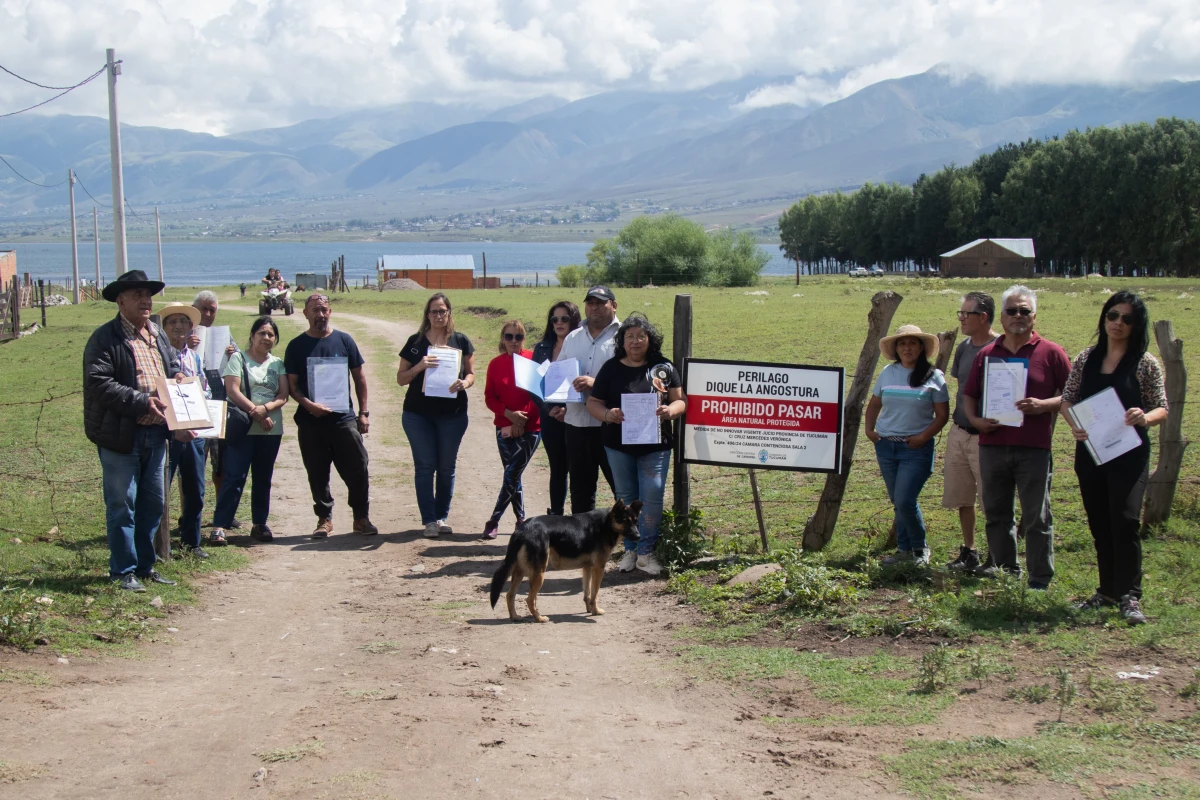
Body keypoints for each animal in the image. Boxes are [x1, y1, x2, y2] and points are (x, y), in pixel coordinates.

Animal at [487, 496, 643, 623]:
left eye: (636, 521)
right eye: (625, 521)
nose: (638, 536)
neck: (606, 524)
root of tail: (522, 530)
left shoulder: (587, 568)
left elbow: (587, 593)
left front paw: (589, 609)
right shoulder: (599, 568)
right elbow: (595, 594)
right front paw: (596, 611)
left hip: (520, 571)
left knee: (510, 595)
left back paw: (515, 617)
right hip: (539, 573)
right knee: (530, 599)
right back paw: (539, 618)